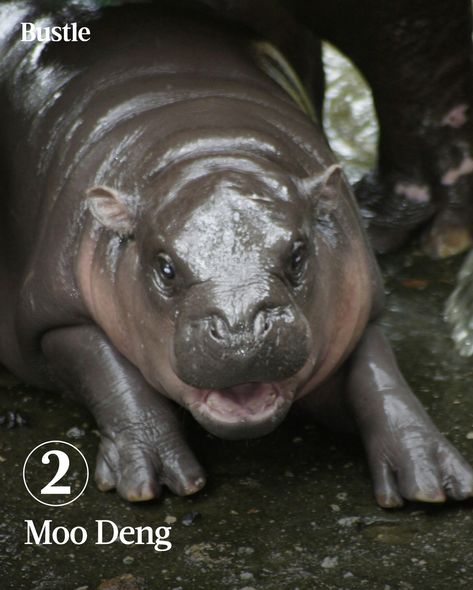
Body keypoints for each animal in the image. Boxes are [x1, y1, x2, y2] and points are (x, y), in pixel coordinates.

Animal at [0, 1, 470, 508]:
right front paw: (152, 478)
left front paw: (430, 477)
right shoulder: (55, 315)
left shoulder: (360, 303)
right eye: (165, 267)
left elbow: (380, 377)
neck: (208, 145)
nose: (241, 329)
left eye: (298, 255)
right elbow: (110, 374)